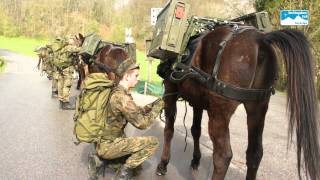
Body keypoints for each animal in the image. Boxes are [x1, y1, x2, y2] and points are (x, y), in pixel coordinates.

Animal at [157, 26, 320, 179]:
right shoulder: (198, 101)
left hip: (220, 112)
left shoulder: (170, 91)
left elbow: (169, 129)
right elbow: (195, 130)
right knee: (254, 154)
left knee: (223, 156)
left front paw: (163, 163)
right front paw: (196, 159)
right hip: (258, 108)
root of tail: (261, 39)